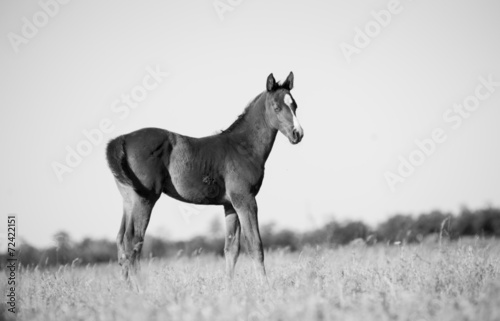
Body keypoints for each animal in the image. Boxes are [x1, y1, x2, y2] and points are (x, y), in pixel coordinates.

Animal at [106, 72, 304, 280]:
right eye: (276, 107)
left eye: (295, 106)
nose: (297, 134)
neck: (243, 147)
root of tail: (122, 139)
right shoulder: (245, 199)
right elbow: (255, 245)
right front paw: (264, 284)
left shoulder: (230, 205)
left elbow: (231, 250)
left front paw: (229, 286)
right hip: (145, 199)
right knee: (133, 241)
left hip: (129, 198)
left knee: (121, 241)